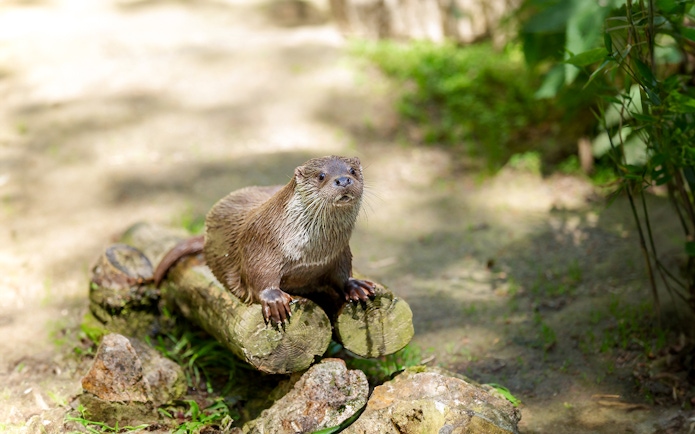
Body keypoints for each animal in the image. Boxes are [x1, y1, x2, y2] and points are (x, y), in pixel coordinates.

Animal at [153, 155, 376, 324]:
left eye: (352, 171)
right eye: (321, 176)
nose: (343, 180)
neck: (312, 254)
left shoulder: (340, 252)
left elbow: (342, 273)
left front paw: (355, 285)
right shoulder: (260, 243)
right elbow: (258, 274)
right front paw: (274, 299)